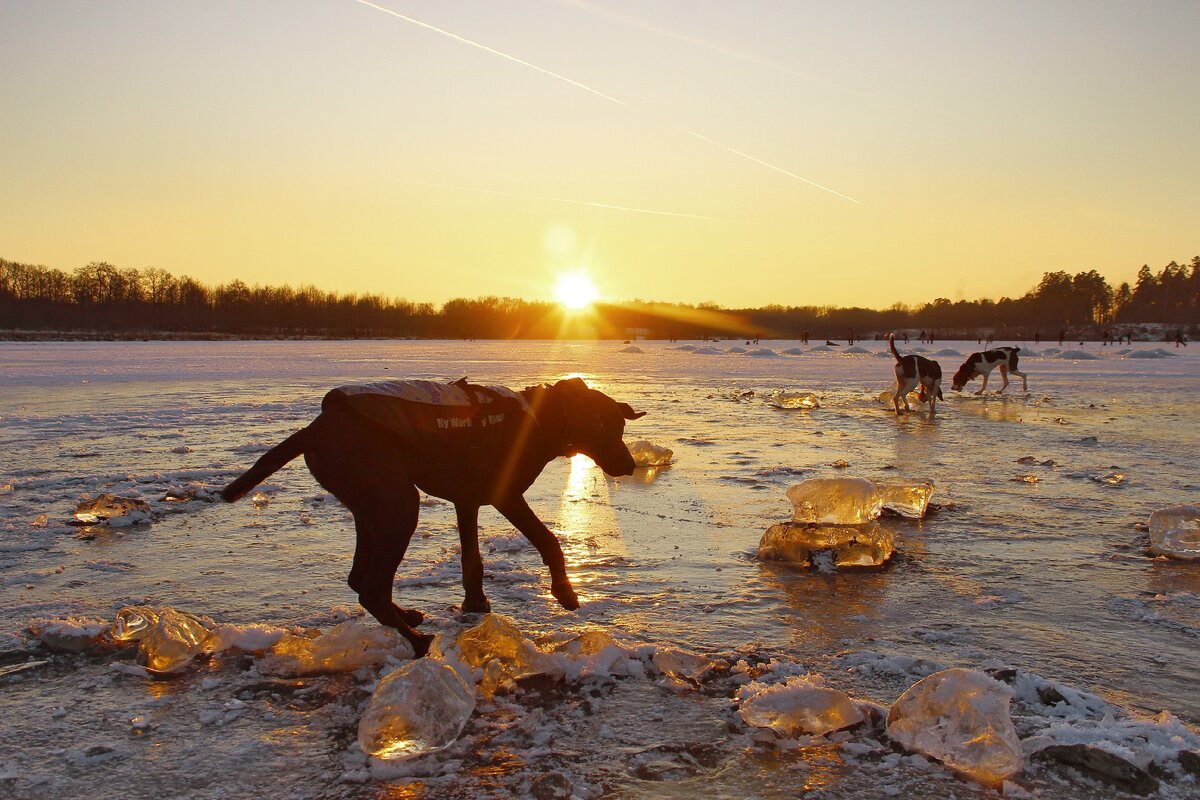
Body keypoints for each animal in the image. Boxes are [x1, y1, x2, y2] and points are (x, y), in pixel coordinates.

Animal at [219, 379, 643, 652]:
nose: (630, 465)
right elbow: (547, 539)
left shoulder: (466, 500)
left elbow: (472, 559)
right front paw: (565, 592)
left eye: (621, 426)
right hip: (398, 507)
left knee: (360, 579)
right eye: (605, 426)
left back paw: (405, 616)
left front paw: (475, 603)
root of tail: (314, 429)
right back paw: (417, 642)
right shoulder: (505, 495)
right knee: (371, 588)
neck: (540, 418)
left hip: (373, 507)